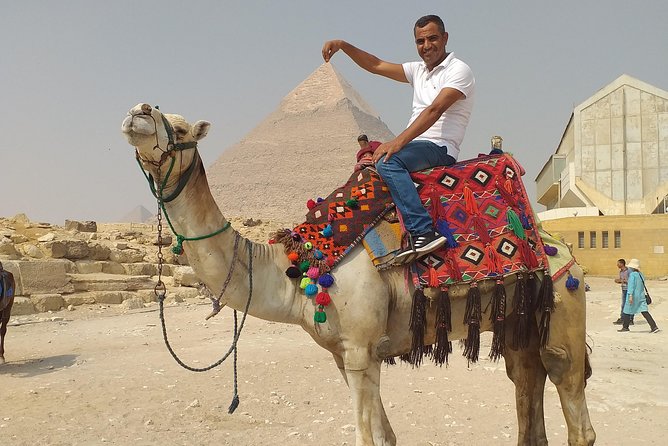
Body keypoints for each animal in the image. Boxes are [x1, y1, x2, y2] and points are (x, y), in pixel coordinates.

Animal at [120, 103, 596, 446]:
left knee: (571, 398)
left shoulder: (361, 350)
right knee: (526, 379)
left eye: (182, 130)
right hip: (520, 321)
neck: (298, 271)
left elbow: (369, 439)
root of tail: (560, 246)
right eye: (157, 111)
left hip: (563, 304)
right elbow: (387, 438)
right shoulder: (345, 354)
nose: (138, 111)